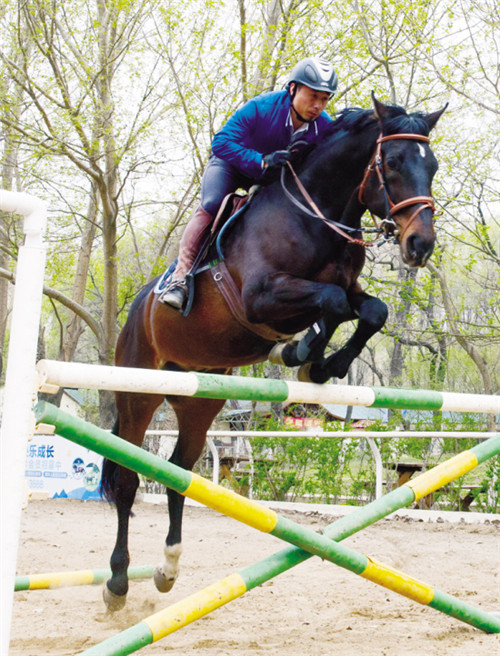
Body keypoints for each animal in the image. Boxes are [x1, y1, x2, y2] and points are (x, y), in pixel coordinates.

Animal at [100, 94, 446, 610]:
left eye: (433, 165)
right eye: (392, 162)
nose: (420, 245)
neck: (316, 215)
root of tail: (138, 309)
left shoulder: (346, 289)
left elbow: (371, 310)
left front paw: (321, 364)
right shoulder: (262, 297)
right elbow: (333, 303)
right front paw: (303, 355)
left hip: (199, 401)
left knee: (180, 474)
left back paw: (167, 568)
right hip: (138, 391)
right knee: (126, 482)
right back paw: (118, 583)